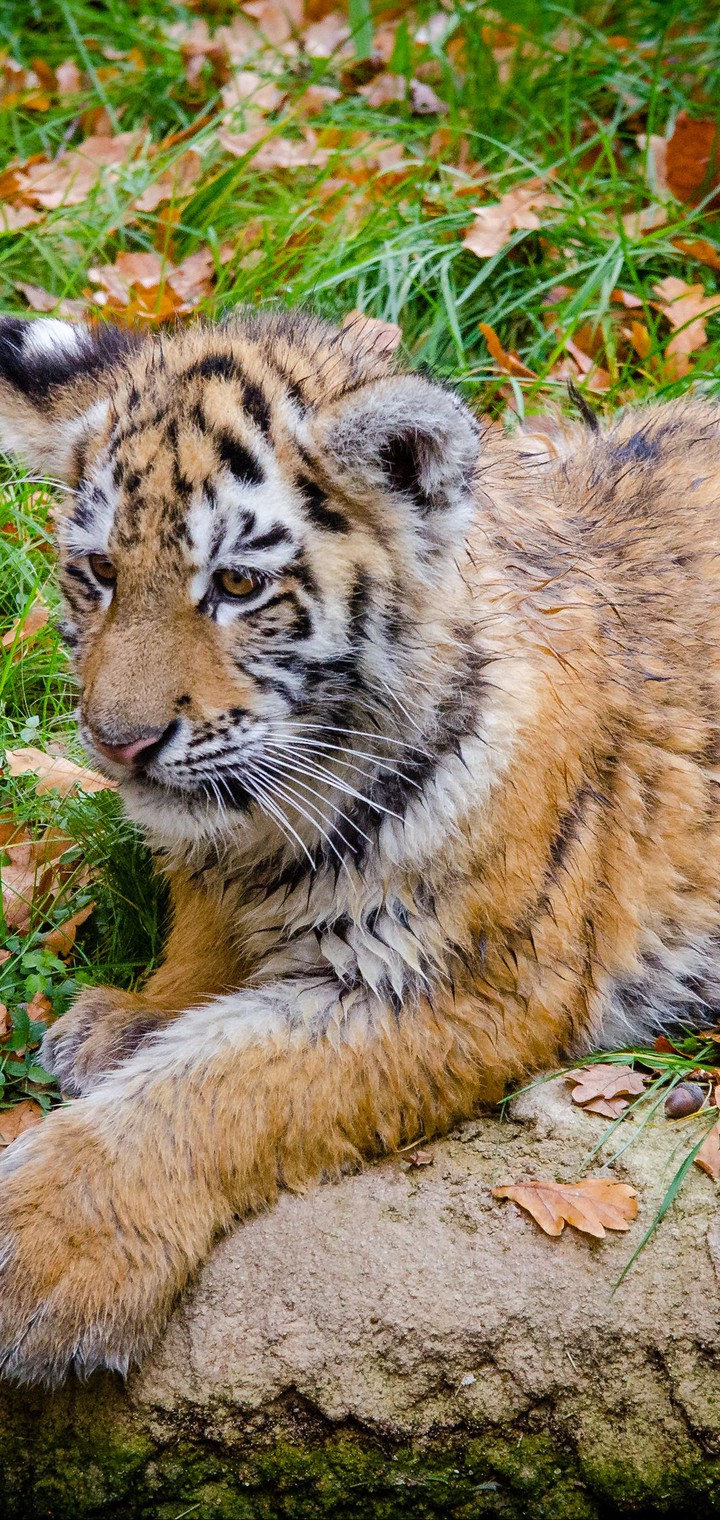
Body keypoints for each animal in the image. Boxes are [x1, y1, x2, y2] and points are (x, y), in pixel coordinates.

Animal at [0, 306, 720, 1387]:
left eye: (237, 584)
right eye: (99, 573)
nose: (119, 742)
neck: (275, 821)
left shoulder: (460, 982)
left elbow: (217, 1084)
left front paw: (39, 1244)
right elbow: (199, 940)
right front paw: (143, 1009)